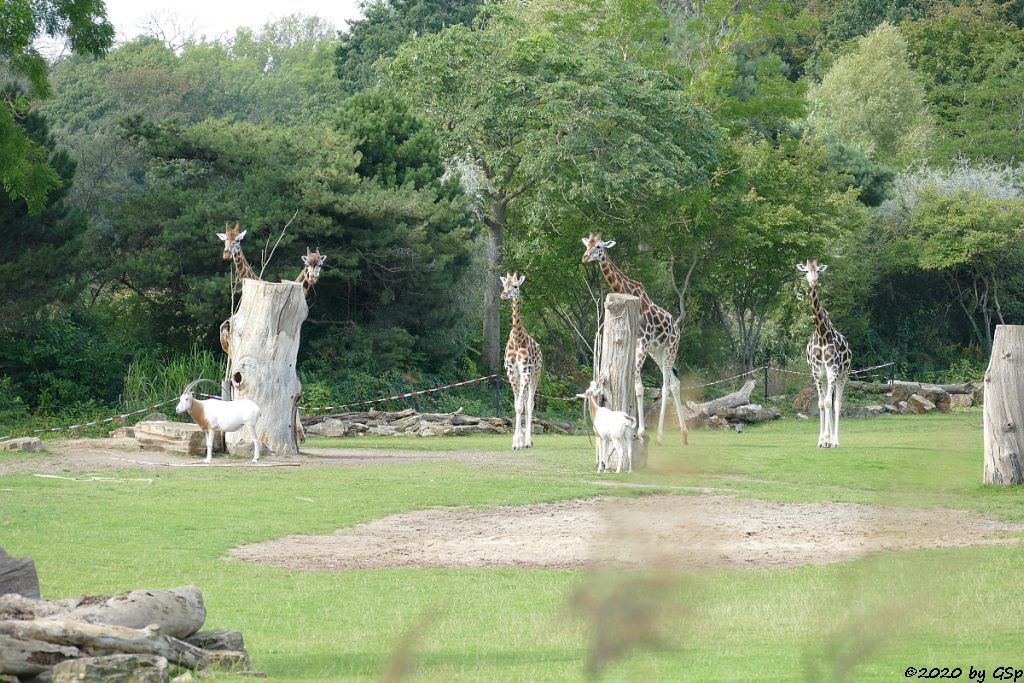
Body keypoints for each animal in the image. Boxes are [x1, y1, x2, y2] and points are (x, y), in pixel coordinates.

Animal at [585, 233, 688, 448]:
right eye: (587, 245)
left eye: (598, 246)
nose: (584, 257)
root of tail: (676, 328)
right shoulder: (638, 346)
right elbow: (634, 386)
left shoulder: (642, 344)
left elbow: (640, 388)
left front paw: (640, 431)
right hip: (657, 352)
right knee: (674, 383)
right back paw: (683, 436)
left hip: (670, 348)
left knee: (666, 385)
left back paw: (659, 436)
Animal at [794, 258, 851, 448]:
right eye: (806, 271)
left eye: (818, 271)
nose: (814, 282)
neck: (821, 332)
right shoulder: (817, 372)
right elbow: (820, 404)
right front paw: (821, 440)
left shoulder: (833, 370)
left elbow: (828, 403)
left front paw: (830, 440)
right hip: (826, 377)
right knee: (828, 402)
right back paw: (827, 440)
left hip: (843, 375)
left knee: (837, 404)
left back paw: (835, 440)